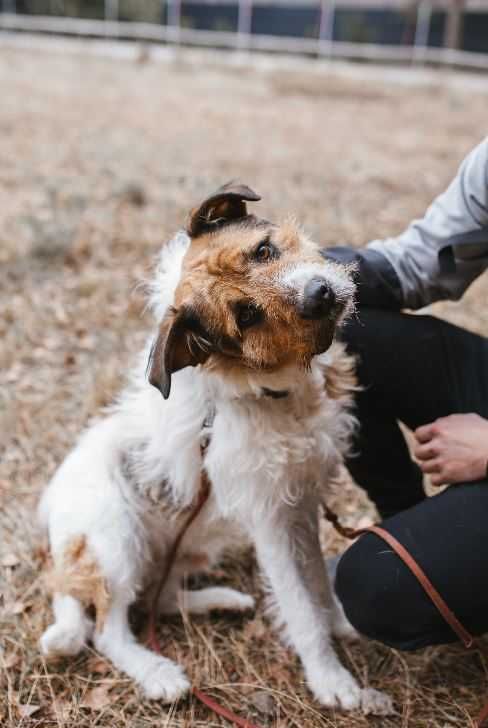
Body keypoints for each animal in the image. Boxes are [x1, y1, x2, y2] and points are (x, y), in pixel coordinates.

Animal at [40, 183, 392, 716]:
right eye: (246, 316)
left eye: (263, 251)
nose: (321, 294)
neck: (277, 394)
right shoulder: (270, 522)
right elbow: (300, 606)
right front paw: (332, 680)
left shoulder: (302, 504)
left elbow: (316, 581)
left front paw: (339, 622)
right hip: (117, 542)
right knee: (107, 630)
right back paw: (159, 674)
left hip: (182, 546)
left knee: (160, 600)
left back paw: (222, 601)